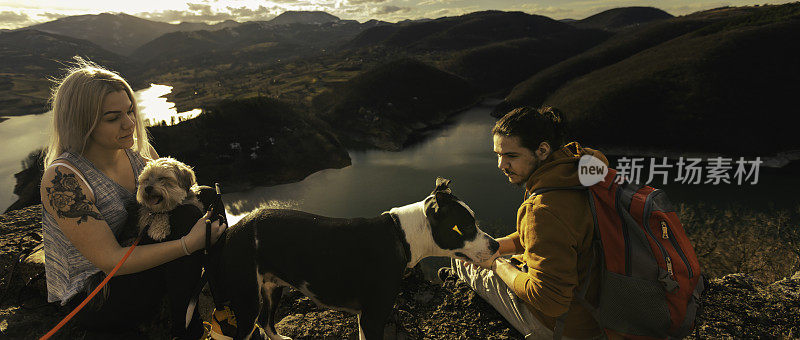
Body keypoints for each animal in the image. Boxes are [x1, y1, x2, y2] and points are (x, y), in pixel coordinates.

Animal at [209, 178, 504, 340]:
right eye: (466, 227)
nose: (497, 245)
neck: (402, 235)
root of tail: (230, 232)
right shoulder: (373, 317)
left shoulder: (365, 317)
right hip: (248, 299)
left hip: (271, 288)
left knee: (266, 322)